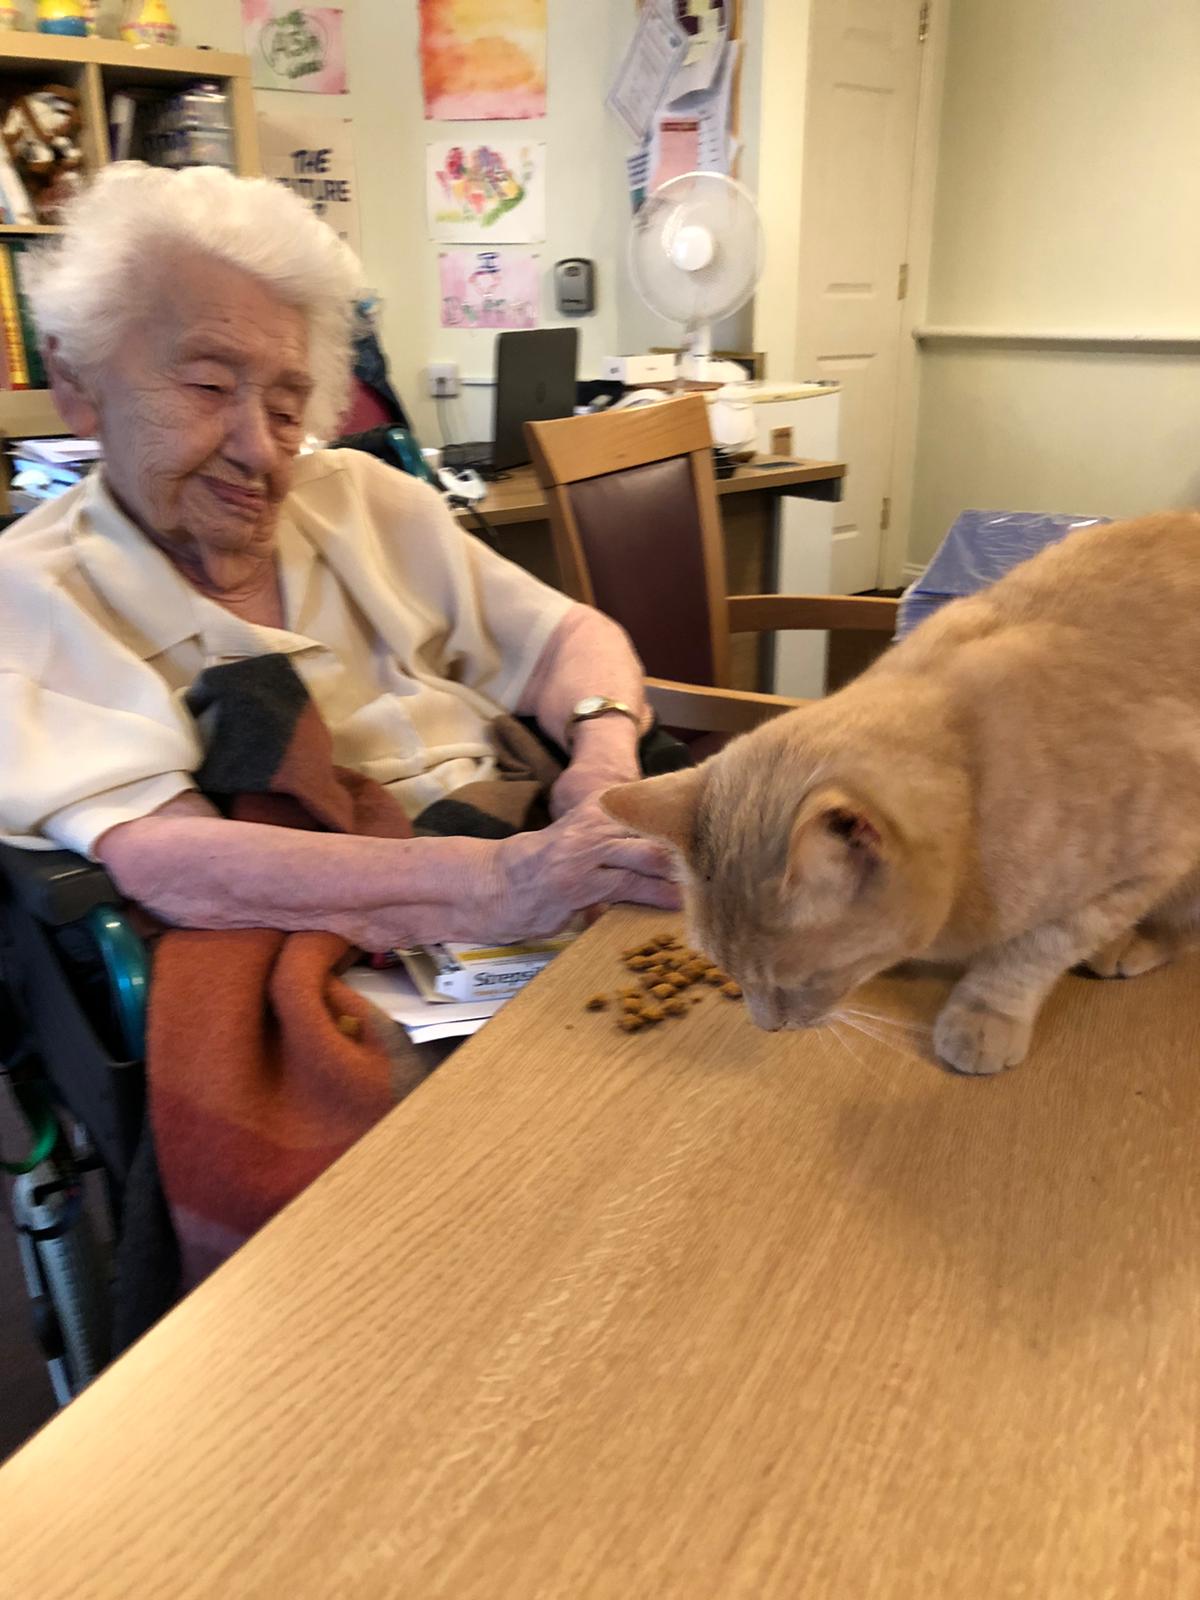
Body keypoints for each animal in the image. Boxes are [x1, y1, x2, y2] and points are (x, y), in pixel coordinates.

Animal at [603, 512, 1200, 1075]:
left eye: (804, 980)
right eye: (728, 972)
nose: (767, 1026)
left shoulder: (1149, 862)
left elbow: (1032, 952)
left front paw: (985, 1014)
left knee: (1177, 929)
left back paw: (1128, 945)